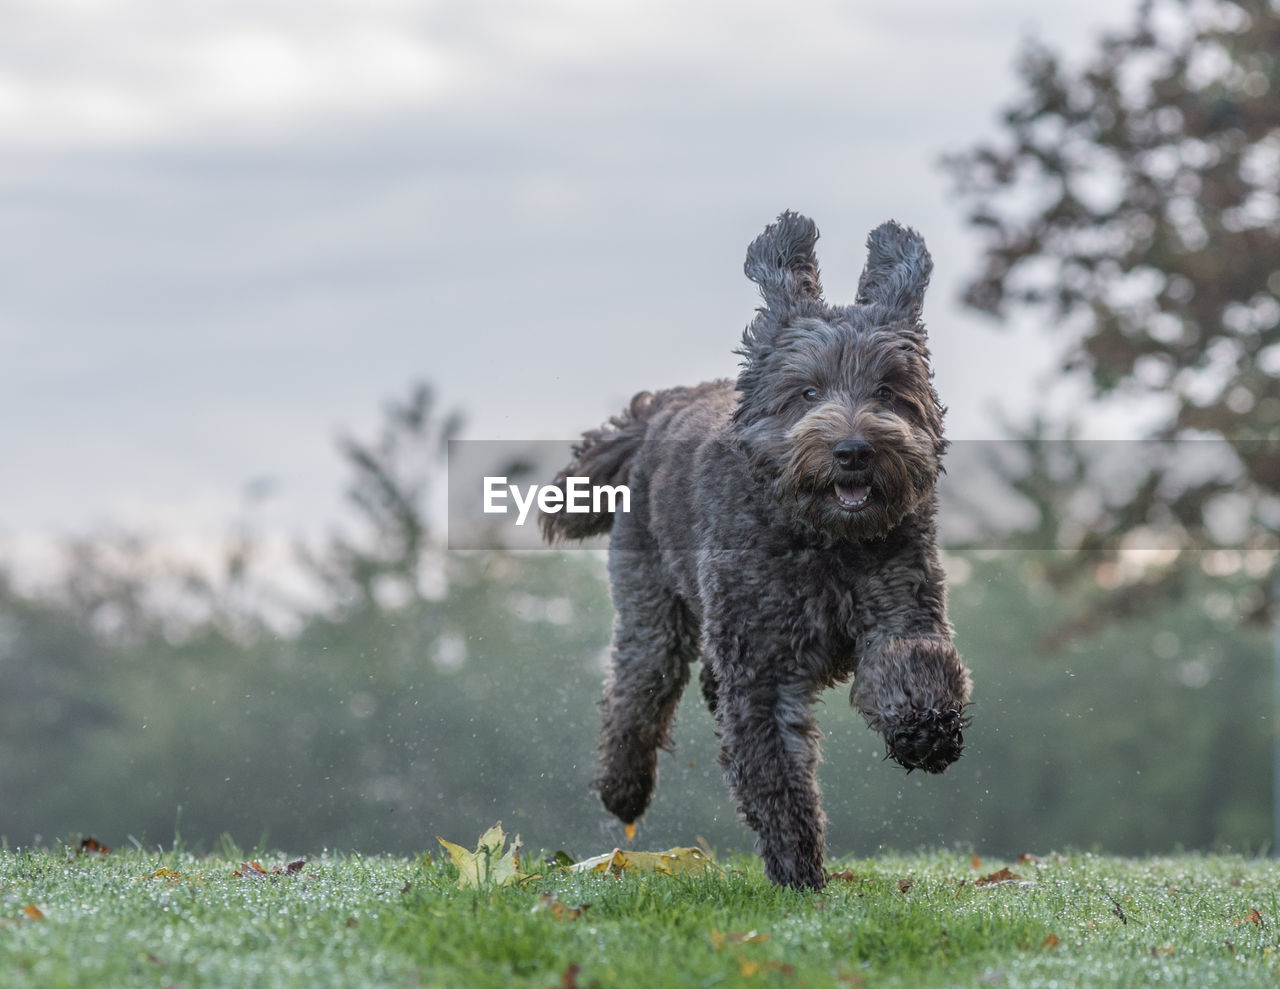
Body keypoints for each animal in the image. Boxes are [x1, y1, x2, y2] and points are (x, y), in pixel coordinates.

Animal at [537, 212, 967, 890]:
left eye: (888, 391)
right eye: (807, 392)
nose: (853, 450)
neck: (821, 542)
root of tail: (659, 408)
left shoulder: (903, 602)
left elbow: (913, 663)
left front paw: (926, 731)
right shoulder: (760, 670)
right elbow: (774, 771)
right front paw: (797, 869)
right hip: (653, 607)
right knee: (636, 691)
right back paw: (622, 789)